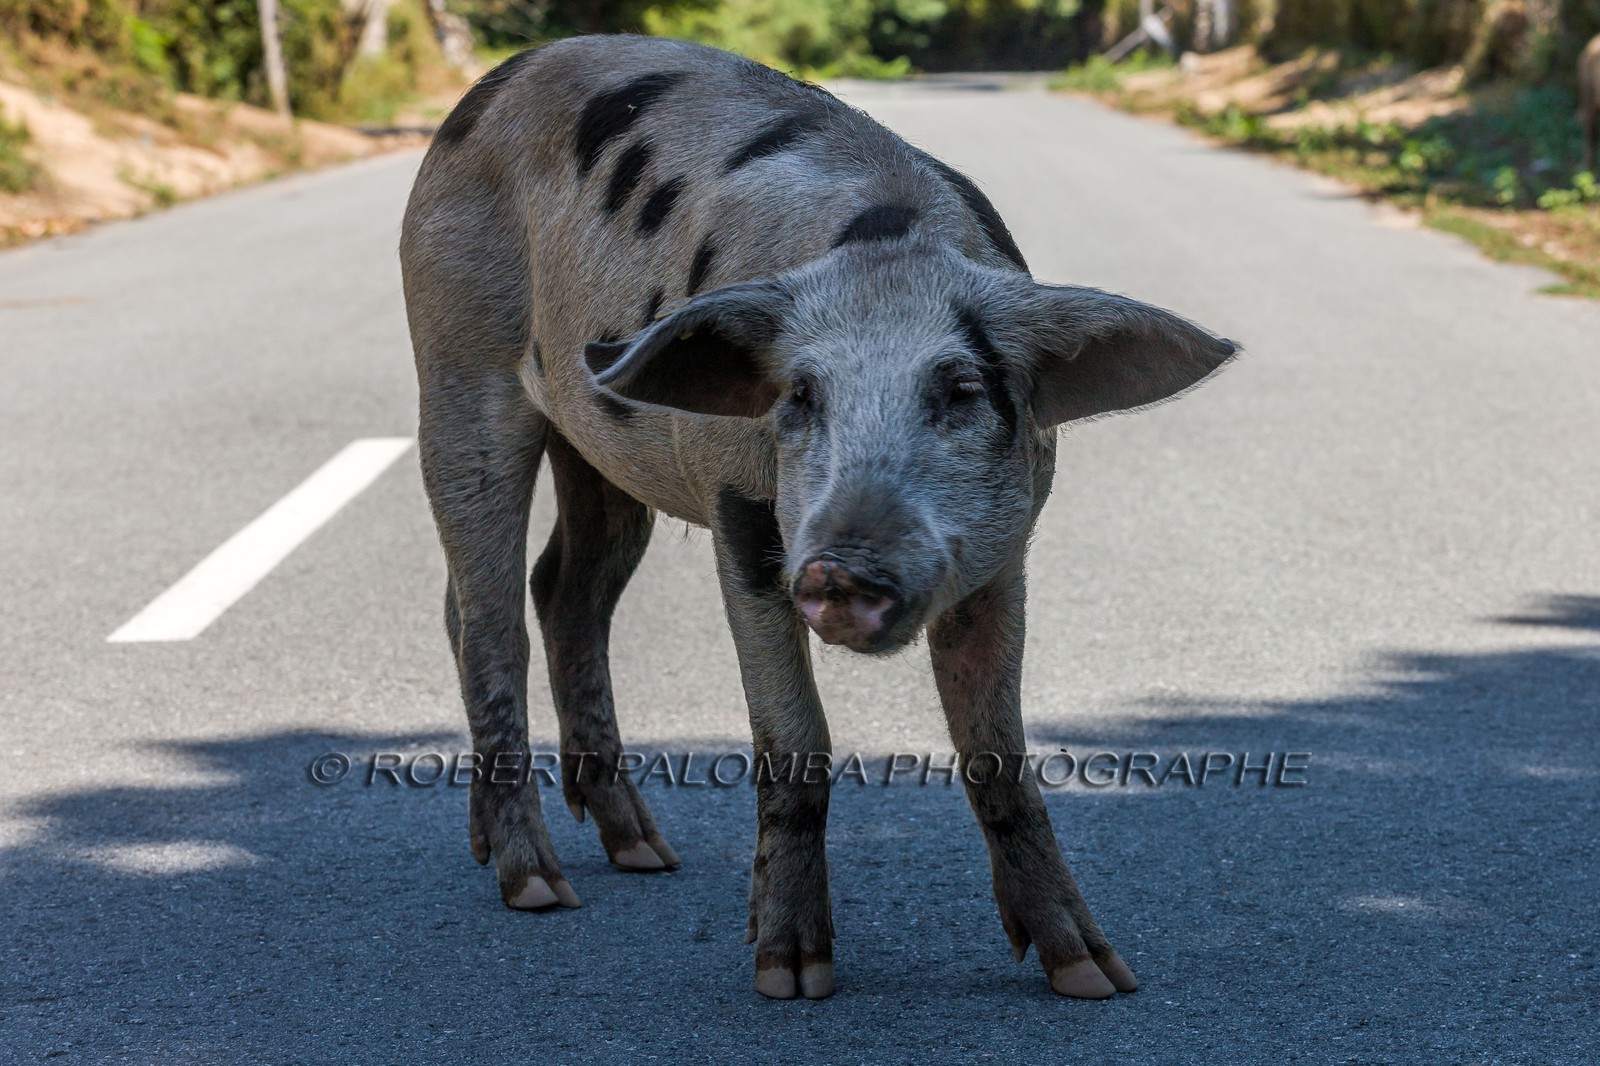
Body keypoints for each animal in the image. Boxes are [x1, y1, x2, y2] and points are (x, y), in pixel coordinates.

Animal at [399, 34, 1235, 1001]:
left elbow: (996, 748)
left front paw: (1095, 975)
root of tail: (492, 88)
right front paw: (790, 976)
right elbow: (795, 741)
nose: (839, 567)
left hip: (601, 451)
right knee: (489, 617)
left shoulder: (1006, 552)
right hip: (456, 361)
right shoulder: (742, 522)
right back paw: (537, 887)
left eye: (961, 389)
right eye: (800, 396)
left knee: (558, 592)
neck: (888, 252)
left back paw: (644, 853)